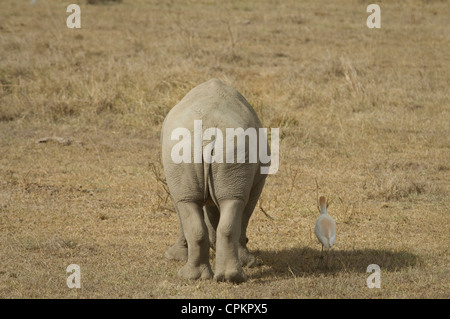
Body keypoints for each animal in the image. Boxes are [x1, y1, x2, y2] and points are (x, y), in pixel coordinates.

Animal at [161, 79, 268, 284]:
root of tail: (208, 132)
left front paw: (175, 257)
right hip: (218, 147)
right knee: (231, 202)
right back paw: (229, 276)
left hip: (200, 147)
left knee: (197, 203)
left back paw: (194, 275)